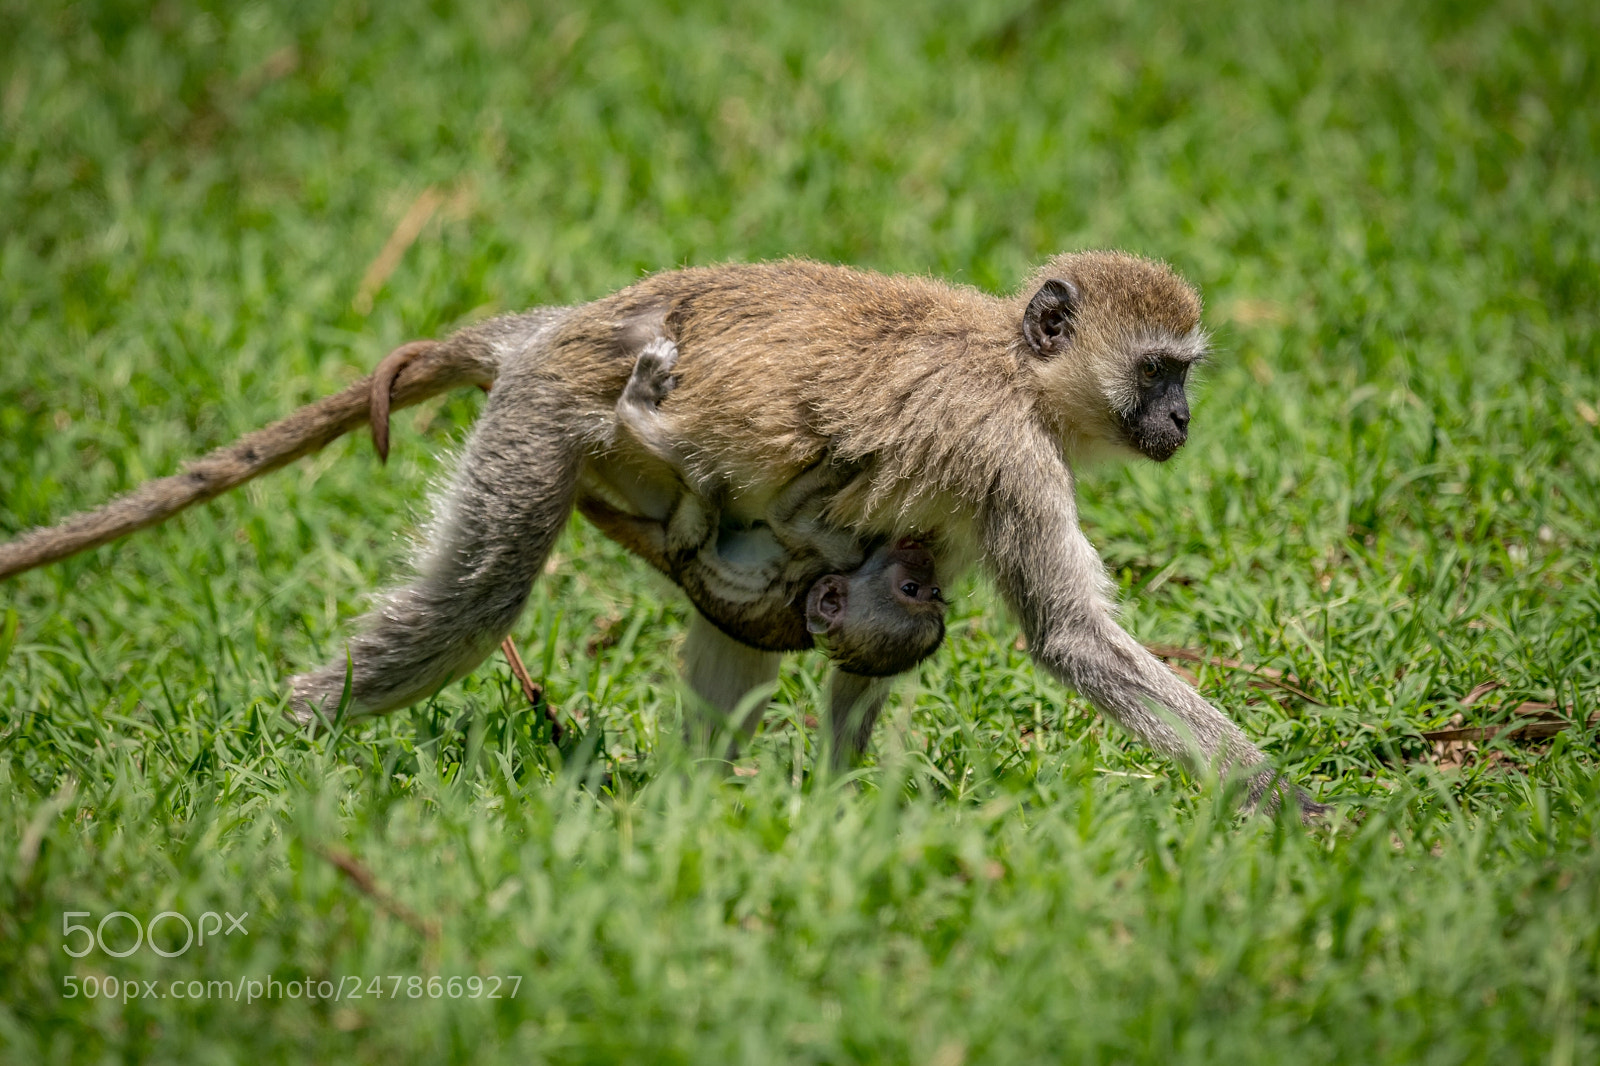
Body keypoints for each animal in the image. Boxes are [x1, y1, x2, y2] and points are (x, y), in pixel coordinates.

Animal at [0, 252, 1324, 817]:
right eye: (1159, 370)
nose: (1182, 421)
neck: (1014, 366)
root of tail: (563, 325)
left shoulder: (945, 519)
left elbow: (867, 641)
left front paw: (841, 809)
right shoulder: (1006, 452)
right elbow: (1072, 639)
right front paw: (1283, 803)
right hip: (544, 419)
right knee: (475, 605)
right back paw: (299, 732)